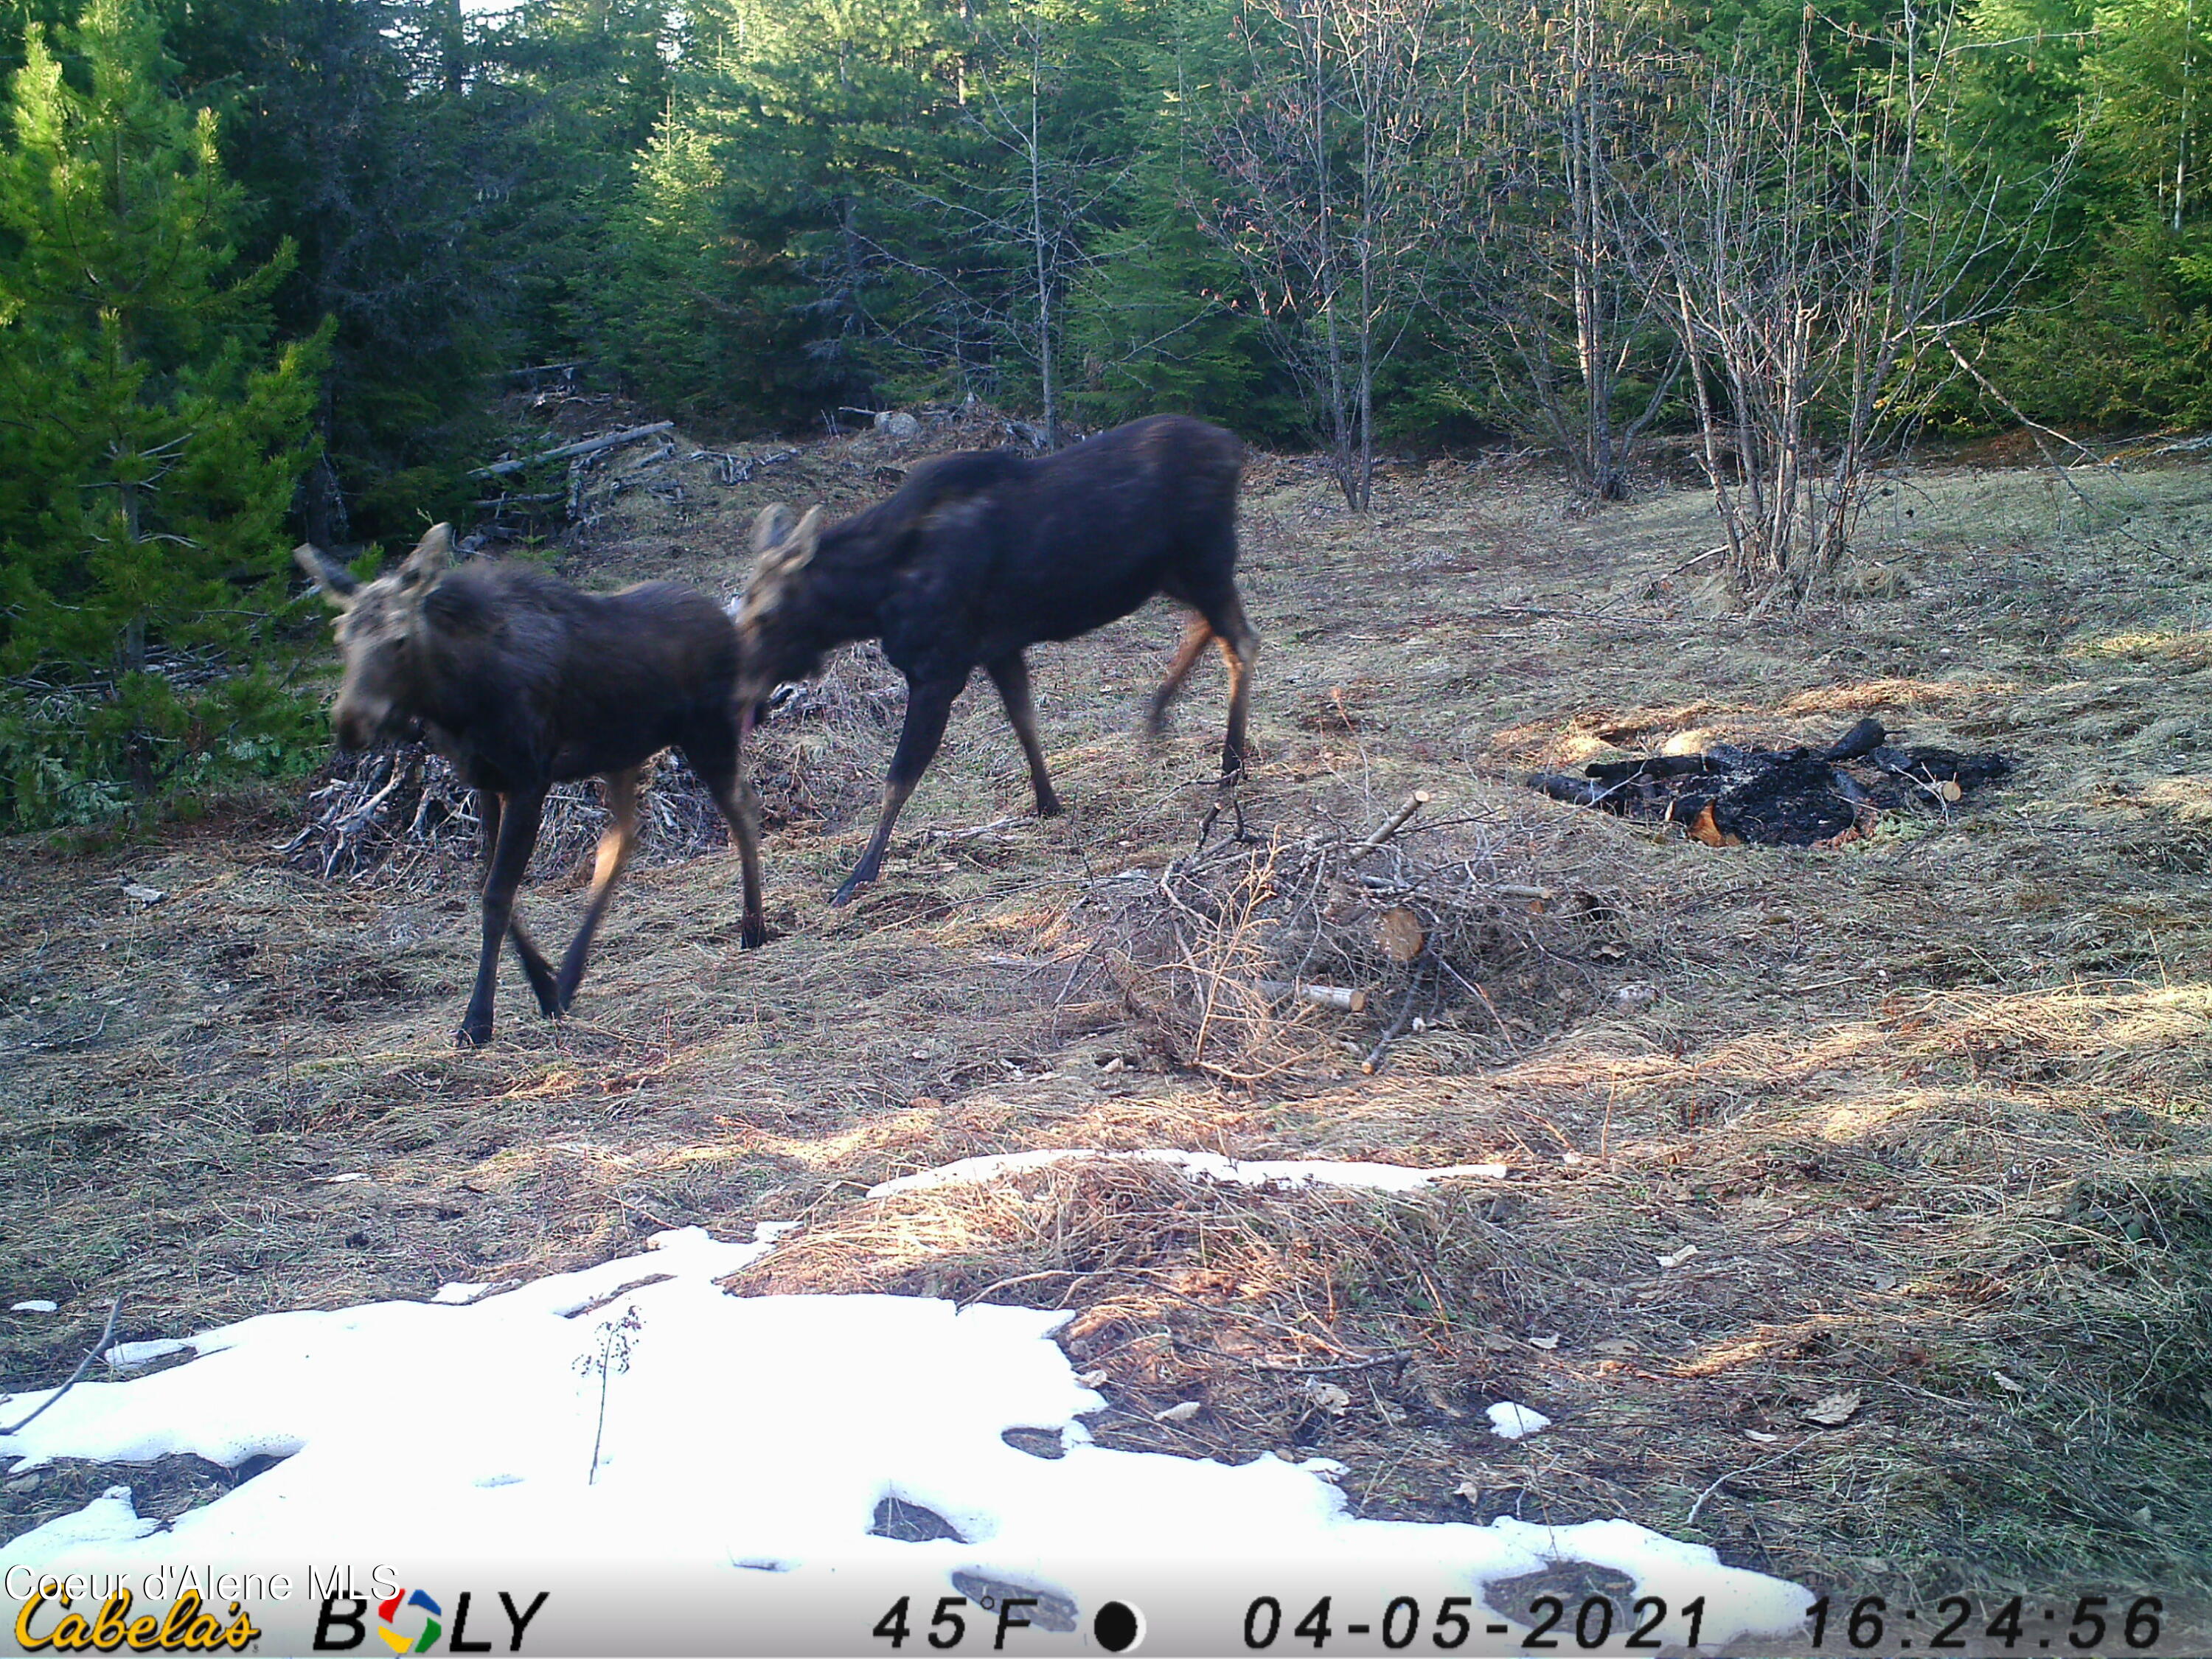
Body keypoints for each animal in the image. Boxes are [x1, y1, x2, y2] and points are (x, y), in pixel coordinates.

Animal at [295, 524, 767, 1047]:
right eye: (342, 636)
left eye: (399, 639)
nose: (349, 723)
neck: (456, 702)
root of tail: (732, 622)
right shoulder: (485, 781)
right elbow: (492, 885)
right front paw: (544, 986)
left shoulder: (529, 778)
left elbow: (496, 895)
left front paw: (478, 1020)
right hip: (620, 753)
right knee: (624, 836)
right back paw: (571, 975)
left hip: (709, 732)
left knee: (742, 808)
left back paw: (753, 927)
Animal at [739, 413, 1257, 906]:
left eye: (765, 615)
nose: (746, 701)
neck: (873, 602)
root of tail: (1234, 446)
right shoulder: (998, 649)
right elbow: (1024, 720)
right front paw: (1048, 803)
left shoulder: (939, 669)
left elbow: (899, 778)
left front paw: (858, 875)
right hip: (1175, 572)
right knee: (1210, 629)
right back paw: (1158, 717)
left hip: (1205, 557)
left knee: (1242, 642)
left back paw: (1229, 766)